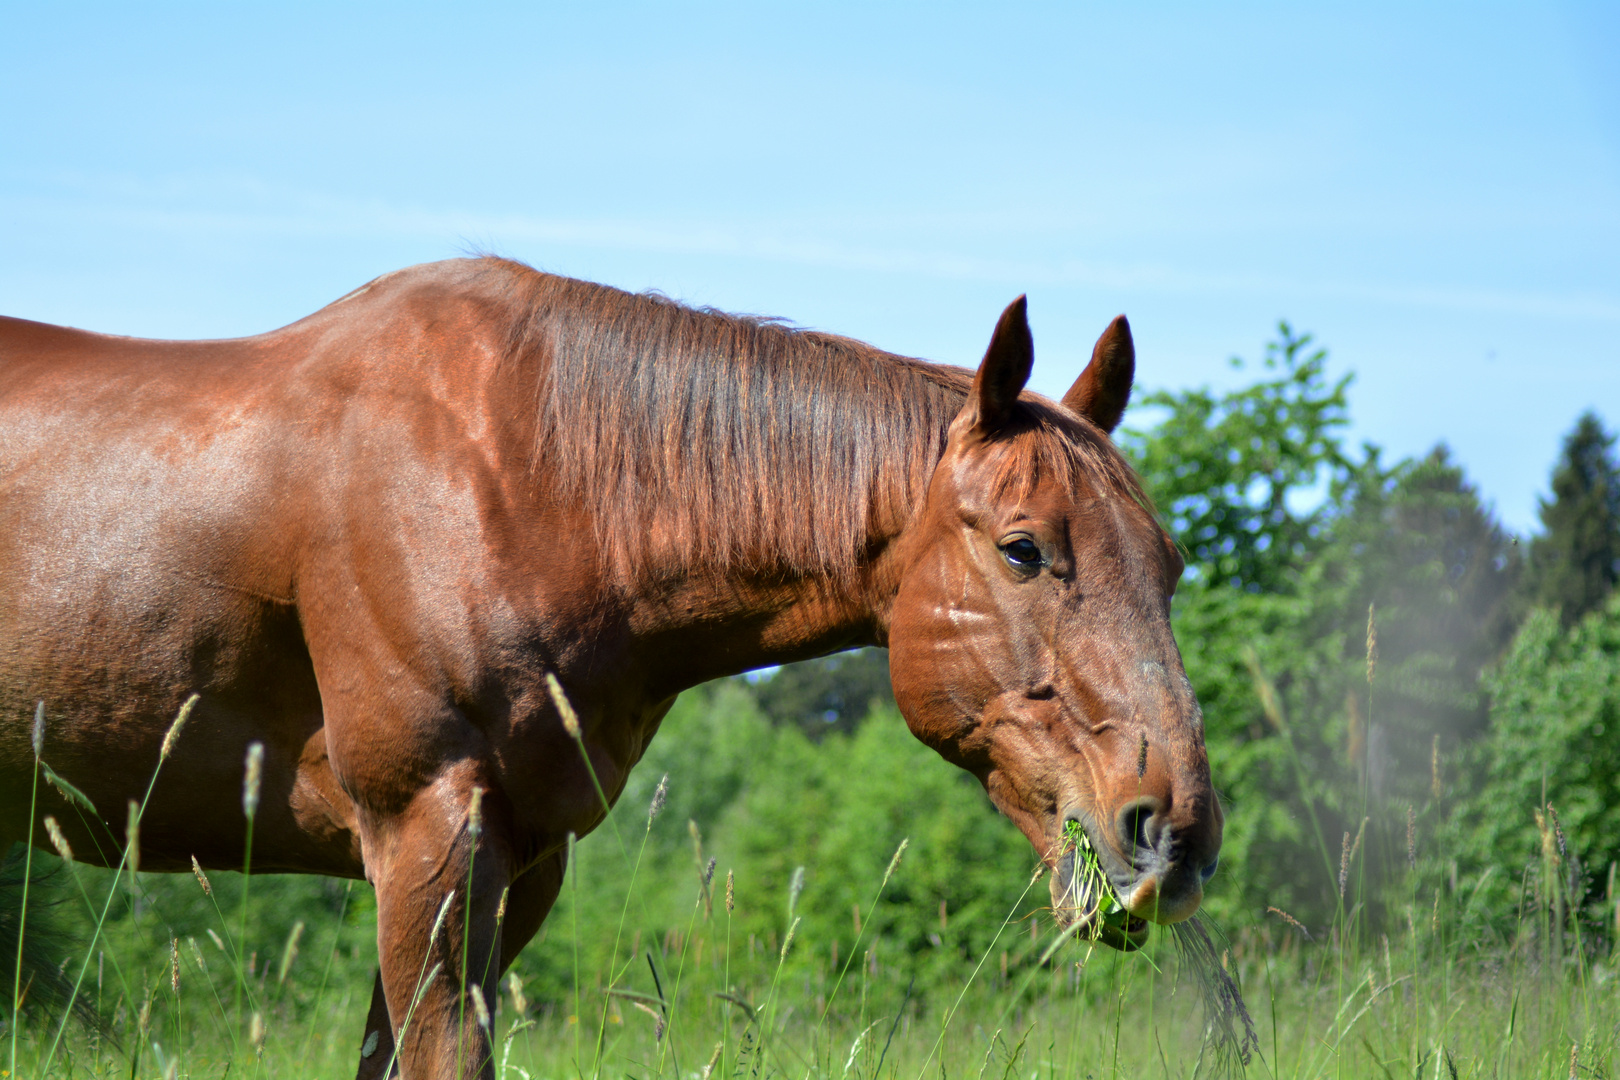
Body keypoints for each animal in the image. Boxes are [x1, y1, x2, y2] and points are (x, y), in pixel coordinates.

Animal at [0, 257, 1218, 1075]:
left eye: (1168, 562)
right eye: (1024, 549)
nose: (1176, 833)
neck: (518, 480)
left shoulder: (518, 863)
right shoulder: (426, 841)